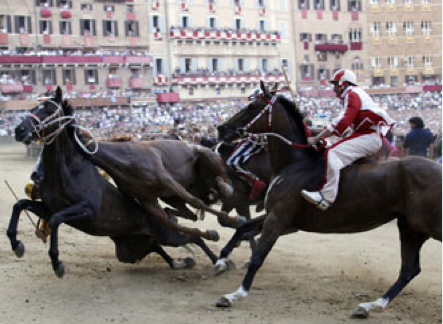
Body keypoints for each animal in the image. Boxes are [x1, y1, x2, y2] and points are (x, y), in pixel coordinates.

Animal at [9, 87, 219, 278]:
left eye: (47, 110)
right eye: (33, 107)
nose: (19, 130)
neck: (67, 173)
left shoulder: (87, 210)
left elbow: (55, 220)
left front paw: (57, 263)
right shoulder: (49, 207)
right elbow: (20, 205)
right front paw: (17, 244)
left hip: (166, 234)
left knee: (193, 236)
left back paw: (217, 257)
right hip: (131, 249)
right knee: (157, 247)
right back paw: (181, 262)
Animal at [214, 81, 440, 318]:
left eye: (251, 106)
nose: (222, 129)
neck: (296, 164)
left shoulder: (279, 217)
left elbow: (258, 256)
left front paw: (235, 294)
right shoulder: (279, 215)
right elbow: (244, 227)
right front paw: (221, 260)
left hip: (428, 225)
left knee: (410, 268)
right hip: (410, 227)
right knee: (409, 270)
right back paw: (371, 305)